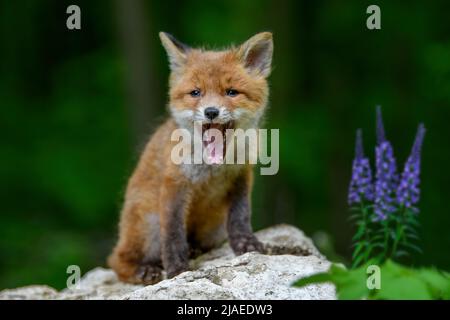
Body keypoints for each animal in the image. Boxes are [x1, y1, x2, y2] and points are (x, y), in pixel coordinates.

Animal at [108, 31, 274, 284]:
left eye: (231, 92)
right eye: (196, 93)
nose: (211, 111)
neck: (212, 168)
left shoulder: (242, 176)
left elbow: (240, 217)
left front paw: (247, 244)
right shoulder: (174, 183)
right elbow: (173, 234)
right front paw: (177, 269)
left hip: (213, 229)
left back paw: (194, 249)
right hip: (148, 226)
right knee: (116, 259)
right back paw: (142, 270)